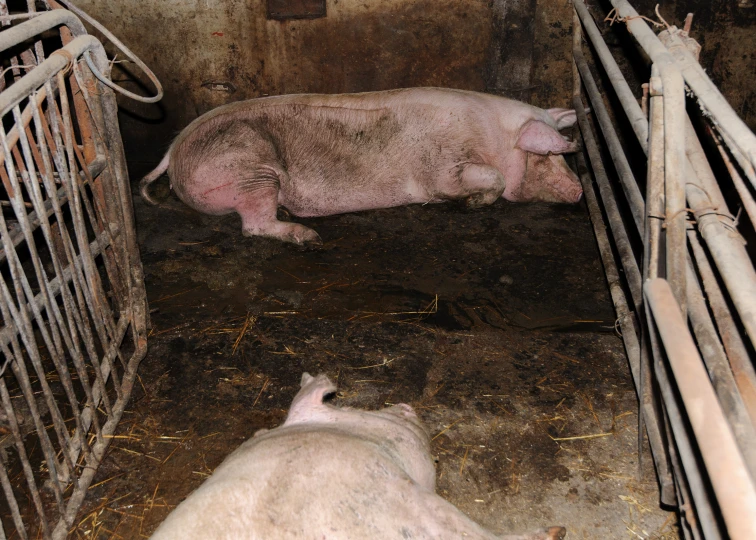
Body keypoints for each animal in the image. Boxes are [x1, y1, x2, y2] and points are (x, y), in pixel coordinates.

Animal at [139, 87, 580, 245]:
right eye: (548, 155)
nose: (579, 190)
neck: (491, 136)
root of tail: (173, 152)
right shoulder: (442, 168)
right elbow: (494, 177)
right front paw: (472, 205)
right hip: (252, 171)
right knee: (253, 226)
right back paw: (309, 236)